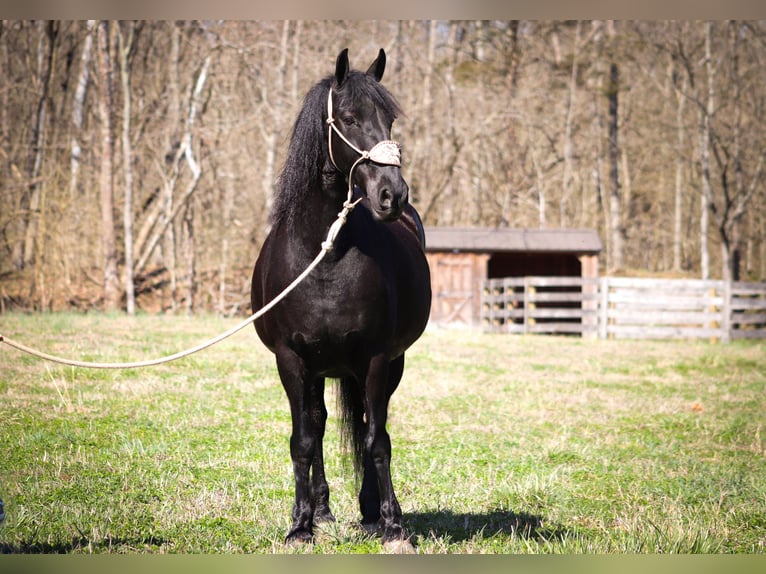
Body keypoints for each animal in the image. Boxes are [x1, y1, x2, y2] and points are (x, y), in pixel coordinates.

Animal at [252, 48, 432, 548]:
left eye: (390, 120)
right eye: (349, 119)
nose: (392, 195)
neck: (325, 256)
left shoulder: (375, 359)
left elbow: (377, 440)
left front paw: (392, 525)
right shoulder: (291, 360)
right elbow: (303, 440)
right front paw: (300, 526)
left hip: (387, 365)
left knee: (369, 425)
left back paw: (371, 511)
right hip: (318, 370)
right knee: (317, 424)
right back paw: (322, 509)